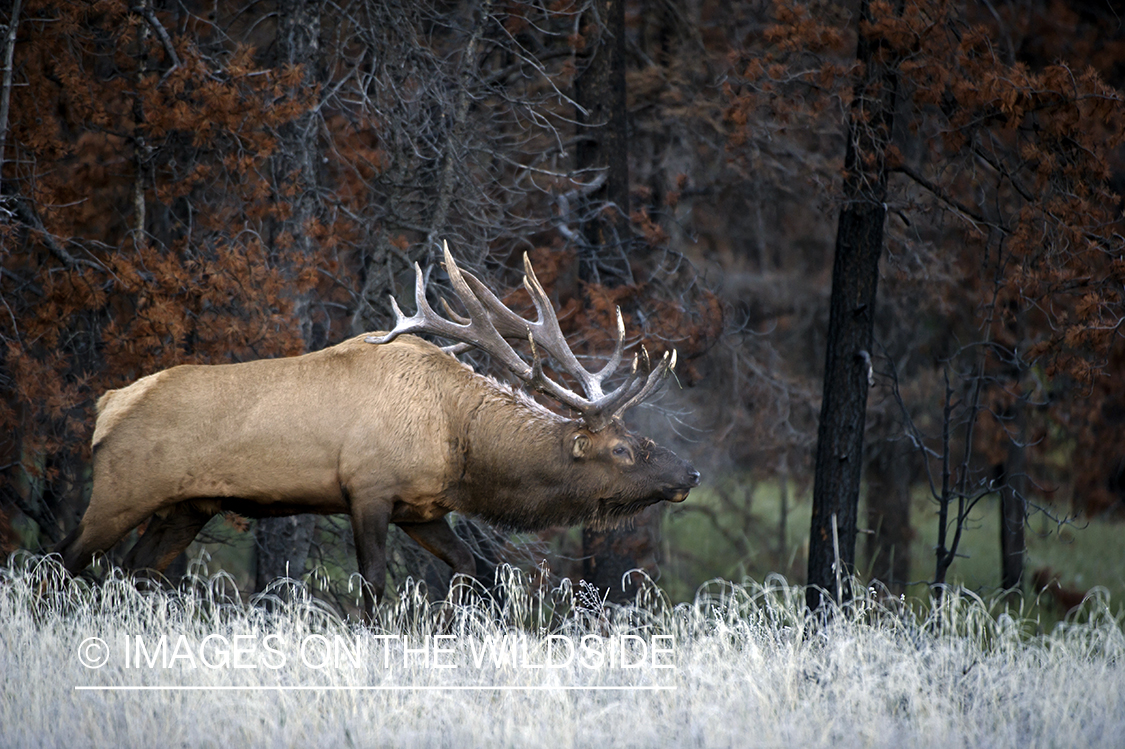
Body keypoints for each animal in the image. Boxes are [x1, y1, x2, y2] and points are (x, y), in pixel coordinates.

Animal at [59, 241, 702, 616]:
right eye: (622, 449)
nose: (690, 472)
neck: (457, 442)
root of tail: (106, 405)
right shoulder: (367, 489)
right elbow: (370, 584)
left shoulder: (422, 508)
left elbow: (470, 569)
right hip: (120, 491)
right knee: (64, 562)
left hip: (185, 506)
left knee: (131, 572)